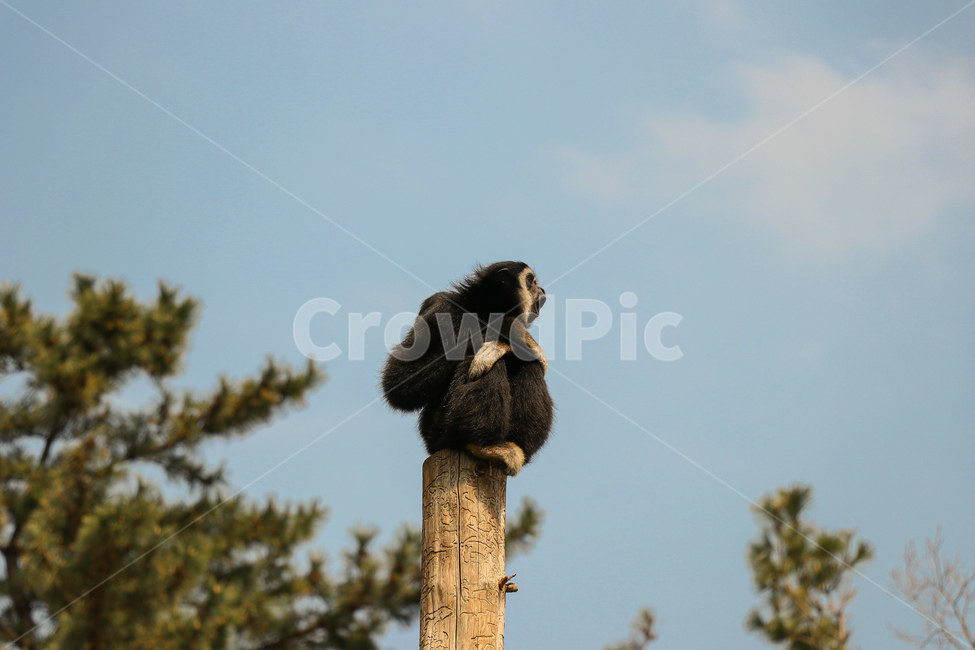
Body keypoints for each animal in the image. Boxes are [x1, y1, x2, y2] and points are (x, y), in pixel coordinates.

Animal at [381, 262, 554, 475]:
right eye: (531, 281)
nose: (541, 289)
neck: (482, 309)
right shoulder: (441, 306)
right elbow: (399, 386)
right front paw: (509, 337)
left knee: (530, 365)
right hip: (436, 432)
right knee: (481, 361)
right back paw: (482, 444)